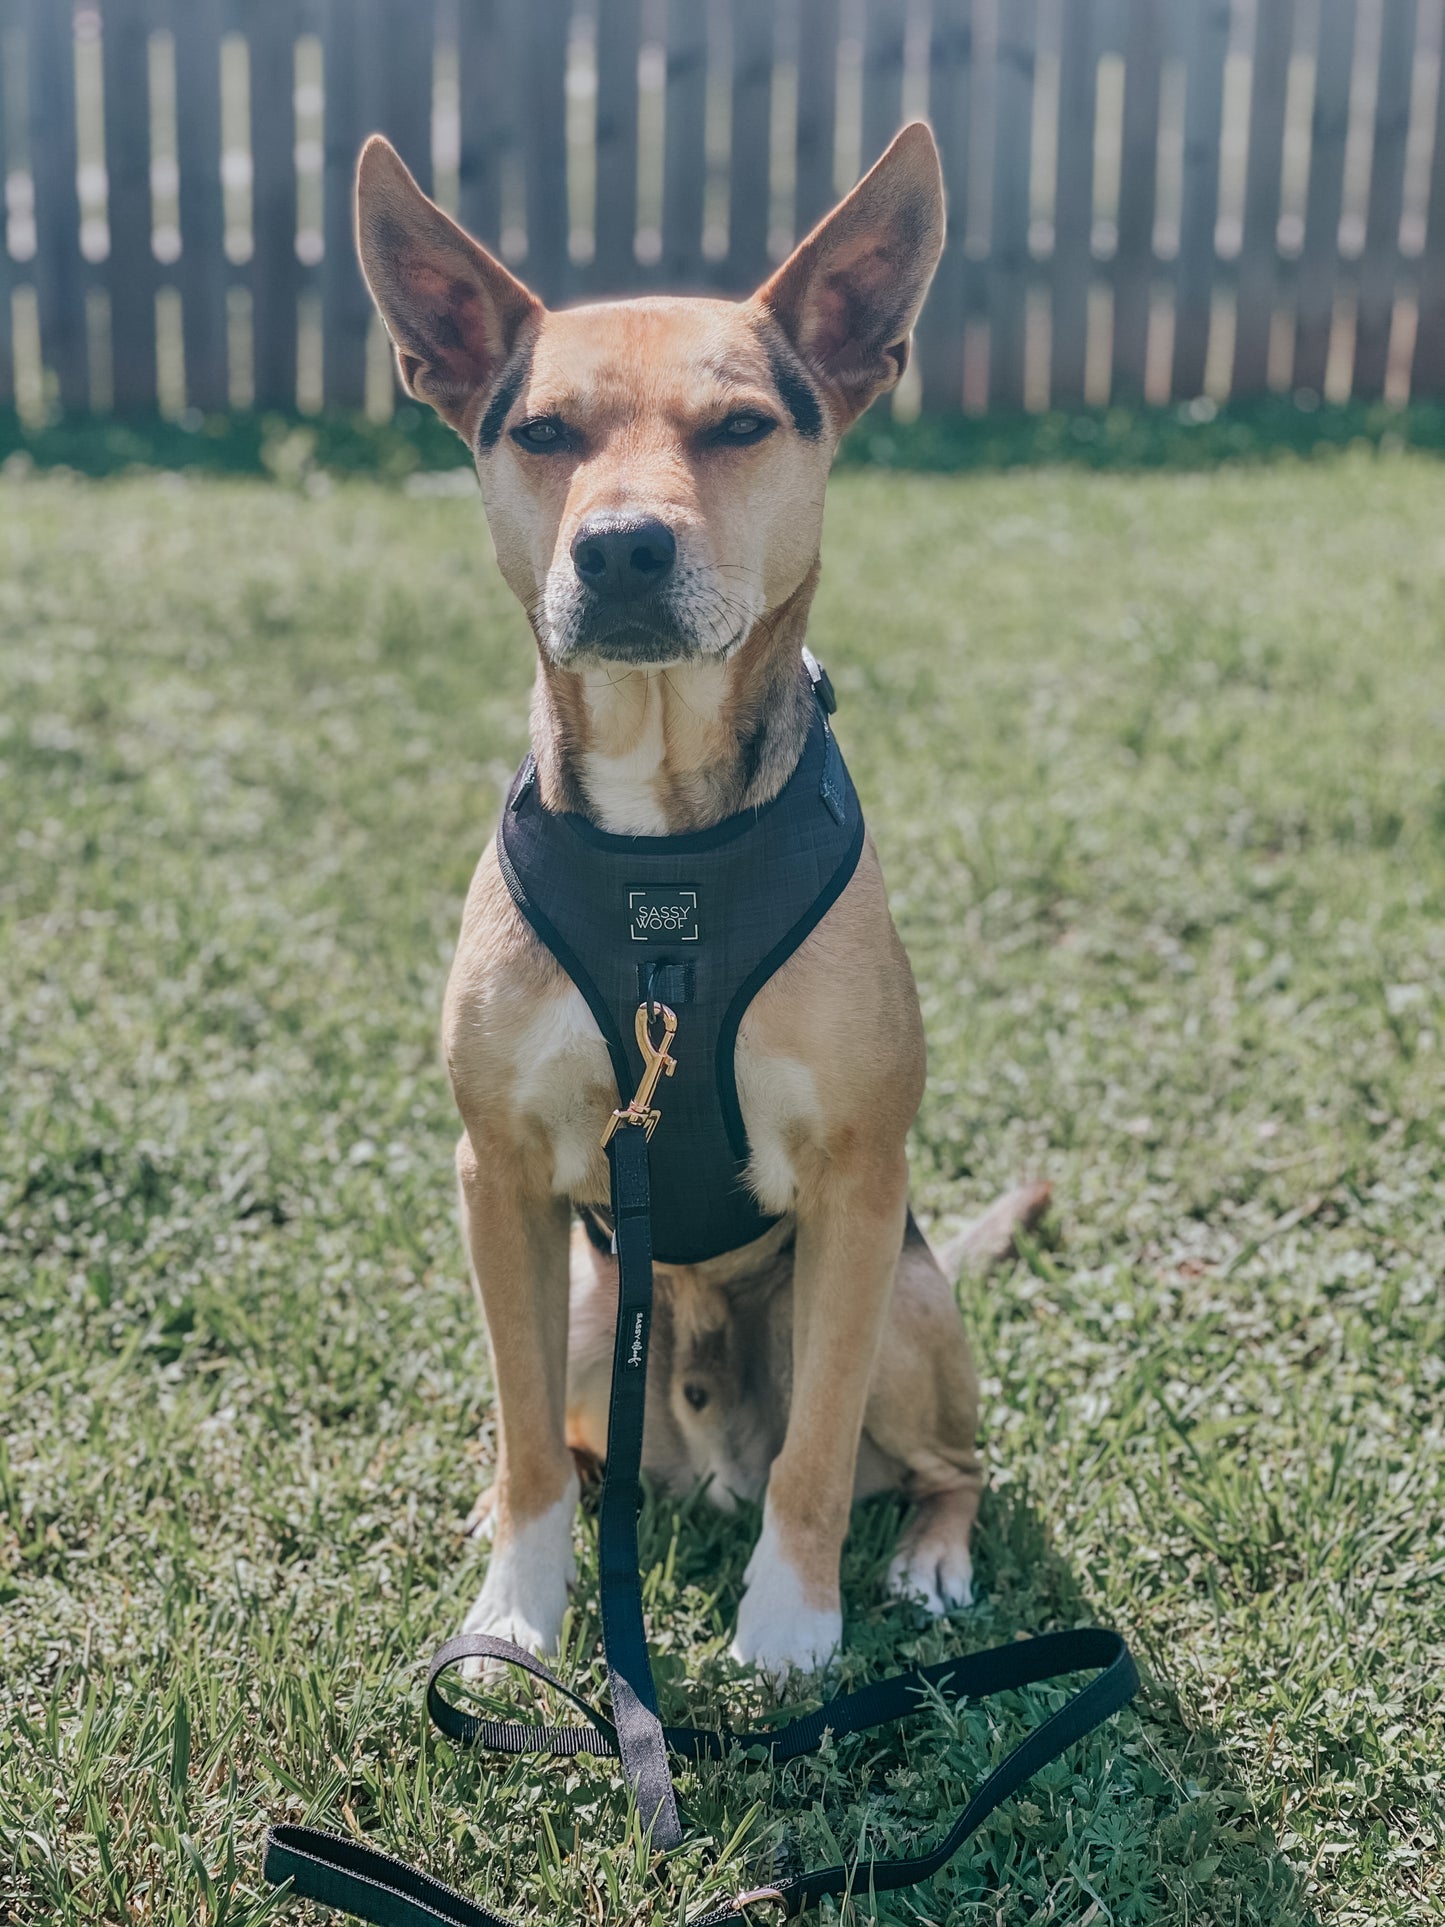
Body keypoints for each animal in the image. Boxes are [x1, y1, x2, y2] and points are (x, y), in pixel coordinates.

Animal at [360, 128, 1017, 1680]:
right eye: (543, 433)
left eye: (738, 427)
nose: (621, 550)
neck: (666, 853)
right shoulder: (499, 1178)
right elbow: (529, 1443)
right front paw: (515, 1617)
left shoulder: (857, 1183)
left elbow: (818, 1456)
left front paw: (791, 1625)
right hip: (592, 1302)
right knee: (571, 1441)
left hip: (907, 1307)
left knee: (950, 1462)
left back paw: (932, 1555)